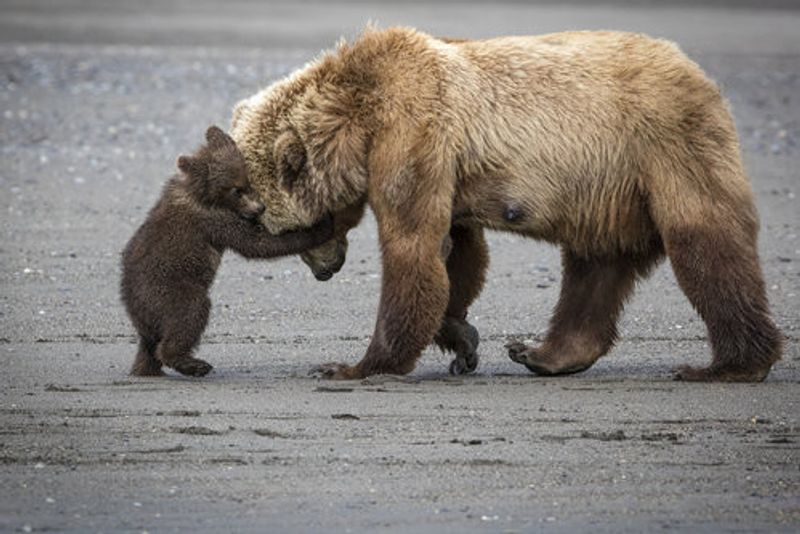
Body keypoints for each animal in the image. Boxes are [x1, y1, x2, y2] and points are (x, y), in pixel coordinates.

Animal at [120, 125, 333, 377]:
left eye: (247, 181)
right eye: (236, 190)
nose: (260, 208)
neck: (202, 194)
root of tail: (133, 308)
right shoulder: (214, 220)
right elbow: (257, 244)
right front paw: (322, 225)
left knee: (149, 346)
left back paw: (147, 369)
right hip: (167, 290)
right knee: (190, 313)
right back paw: (193, 363)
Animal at [229, 27, 782, 382]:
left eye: (279, 227)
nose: (325, 271)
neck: (358, 116)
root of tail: (698, 72)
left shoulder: (413, 133)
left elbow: (413, 248)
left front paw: (354, 365)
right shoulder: (444, 165)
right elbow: (457, 253)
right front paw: (462, 339)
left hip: (664, 146)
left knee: (705, 243)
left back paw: (730, 365)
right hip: (608, 191)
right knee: (595, 267)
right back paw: (543, 353)